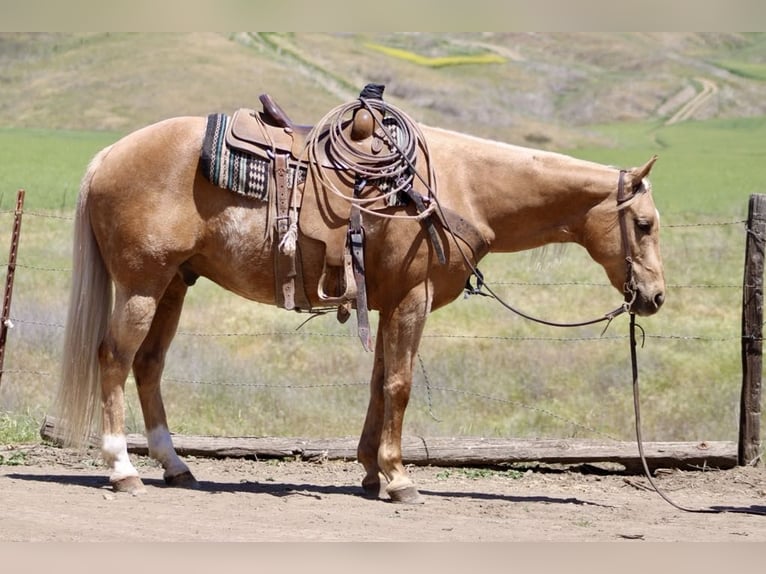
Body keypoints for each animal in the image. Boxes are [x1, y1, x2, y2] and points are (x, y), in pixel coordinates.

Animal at [52, 100, 665, 504]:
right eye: (644, 224)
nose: (655, 296)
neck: (459, 187)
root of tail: (109, 155)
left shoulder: (388, 302)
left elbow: (378, 383)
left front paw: (372, 473)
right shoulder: (412, 299)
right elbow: (399, 384)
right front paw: (399, 478)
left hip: (174, 286)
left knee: (149, 365)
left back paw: (175, 466)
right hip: (142, 286)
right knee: (114, 359)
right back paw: (122, 468)